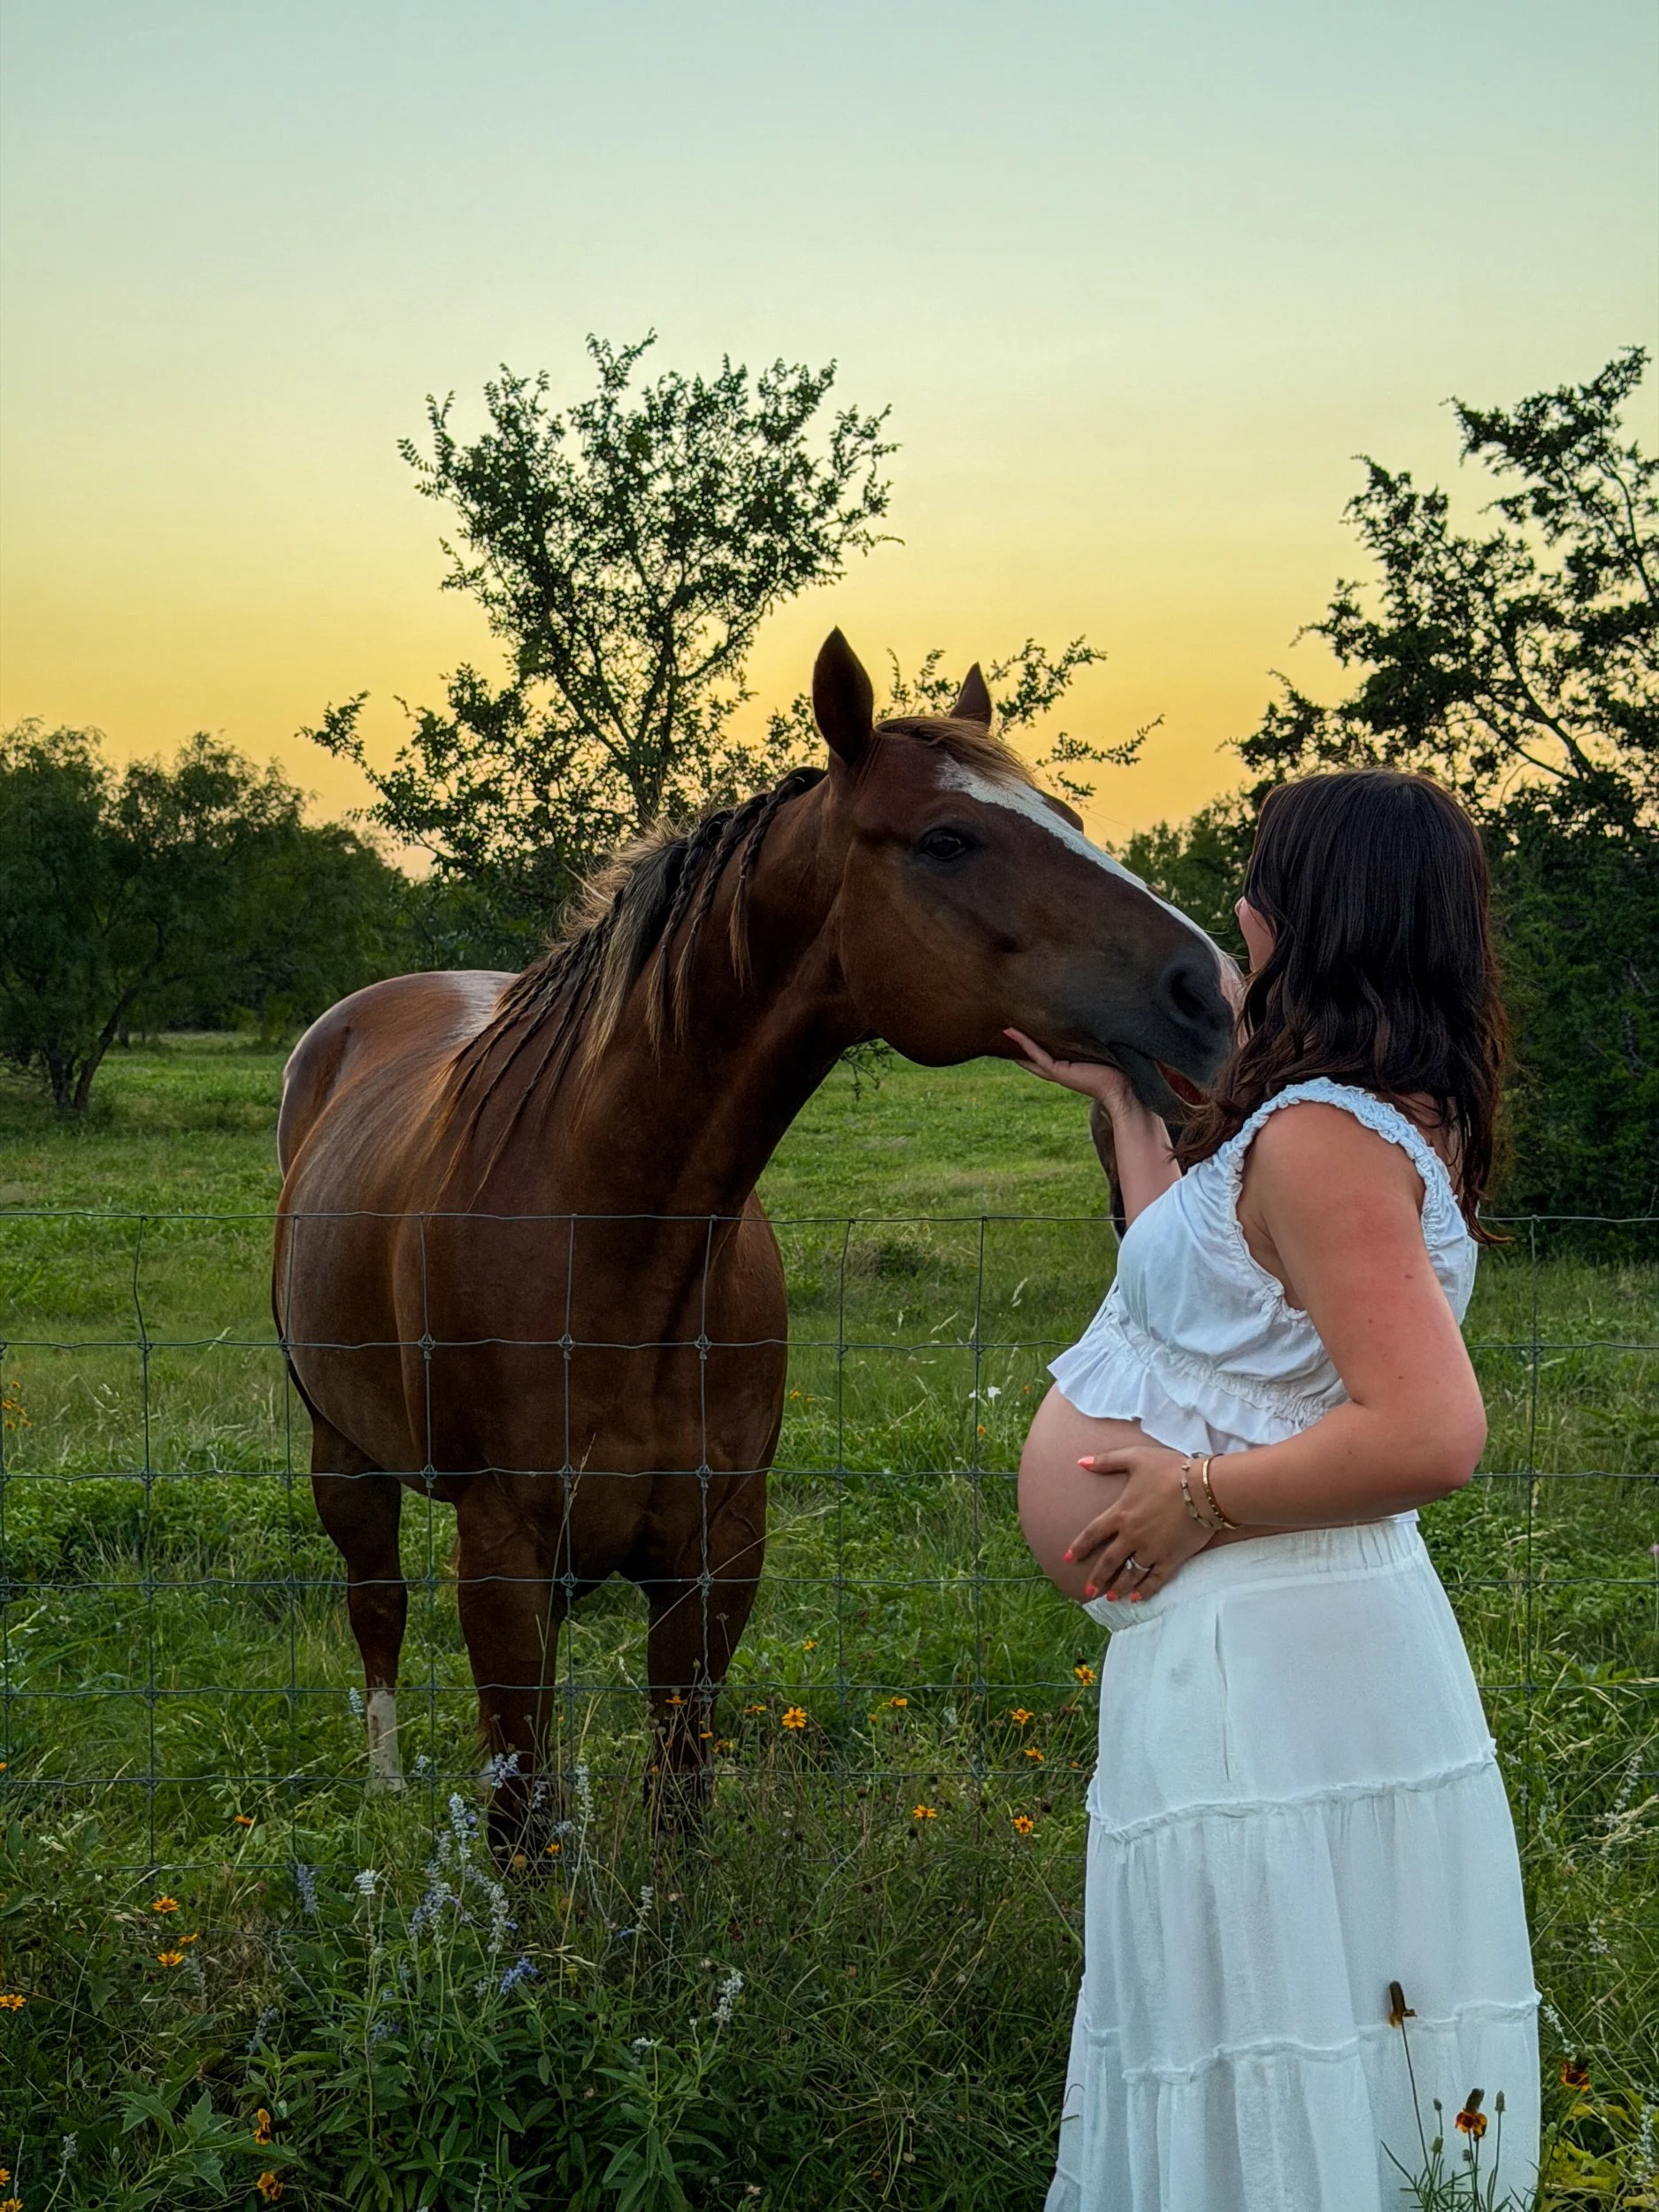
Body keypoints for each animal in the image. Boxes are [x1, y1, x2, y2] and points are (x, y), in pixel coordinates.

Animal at [273, 630, 1231, 1854]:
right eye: (948, 839)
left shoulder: (716, 1556)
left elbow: (679, 1800)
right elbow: (523, 1824)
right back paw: (387, 1788)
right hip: (343, 1454)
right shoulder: (502, 1558)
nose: (1208, 988)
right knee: (376, 1604)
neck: (610, 1239)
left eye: (1062, 810)